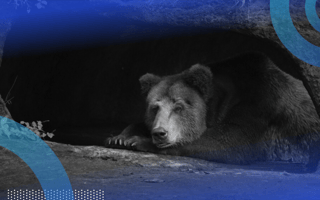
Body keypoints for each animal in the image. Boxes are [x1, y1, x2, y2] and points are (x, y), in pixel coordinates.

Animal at [104, 52, 320, 172]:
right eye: (154, 107)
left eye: (179, 106)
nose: (160, 133)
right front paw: (119, 137)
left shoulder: (260, 103)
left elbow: (227, 141)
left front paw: (138, 141)